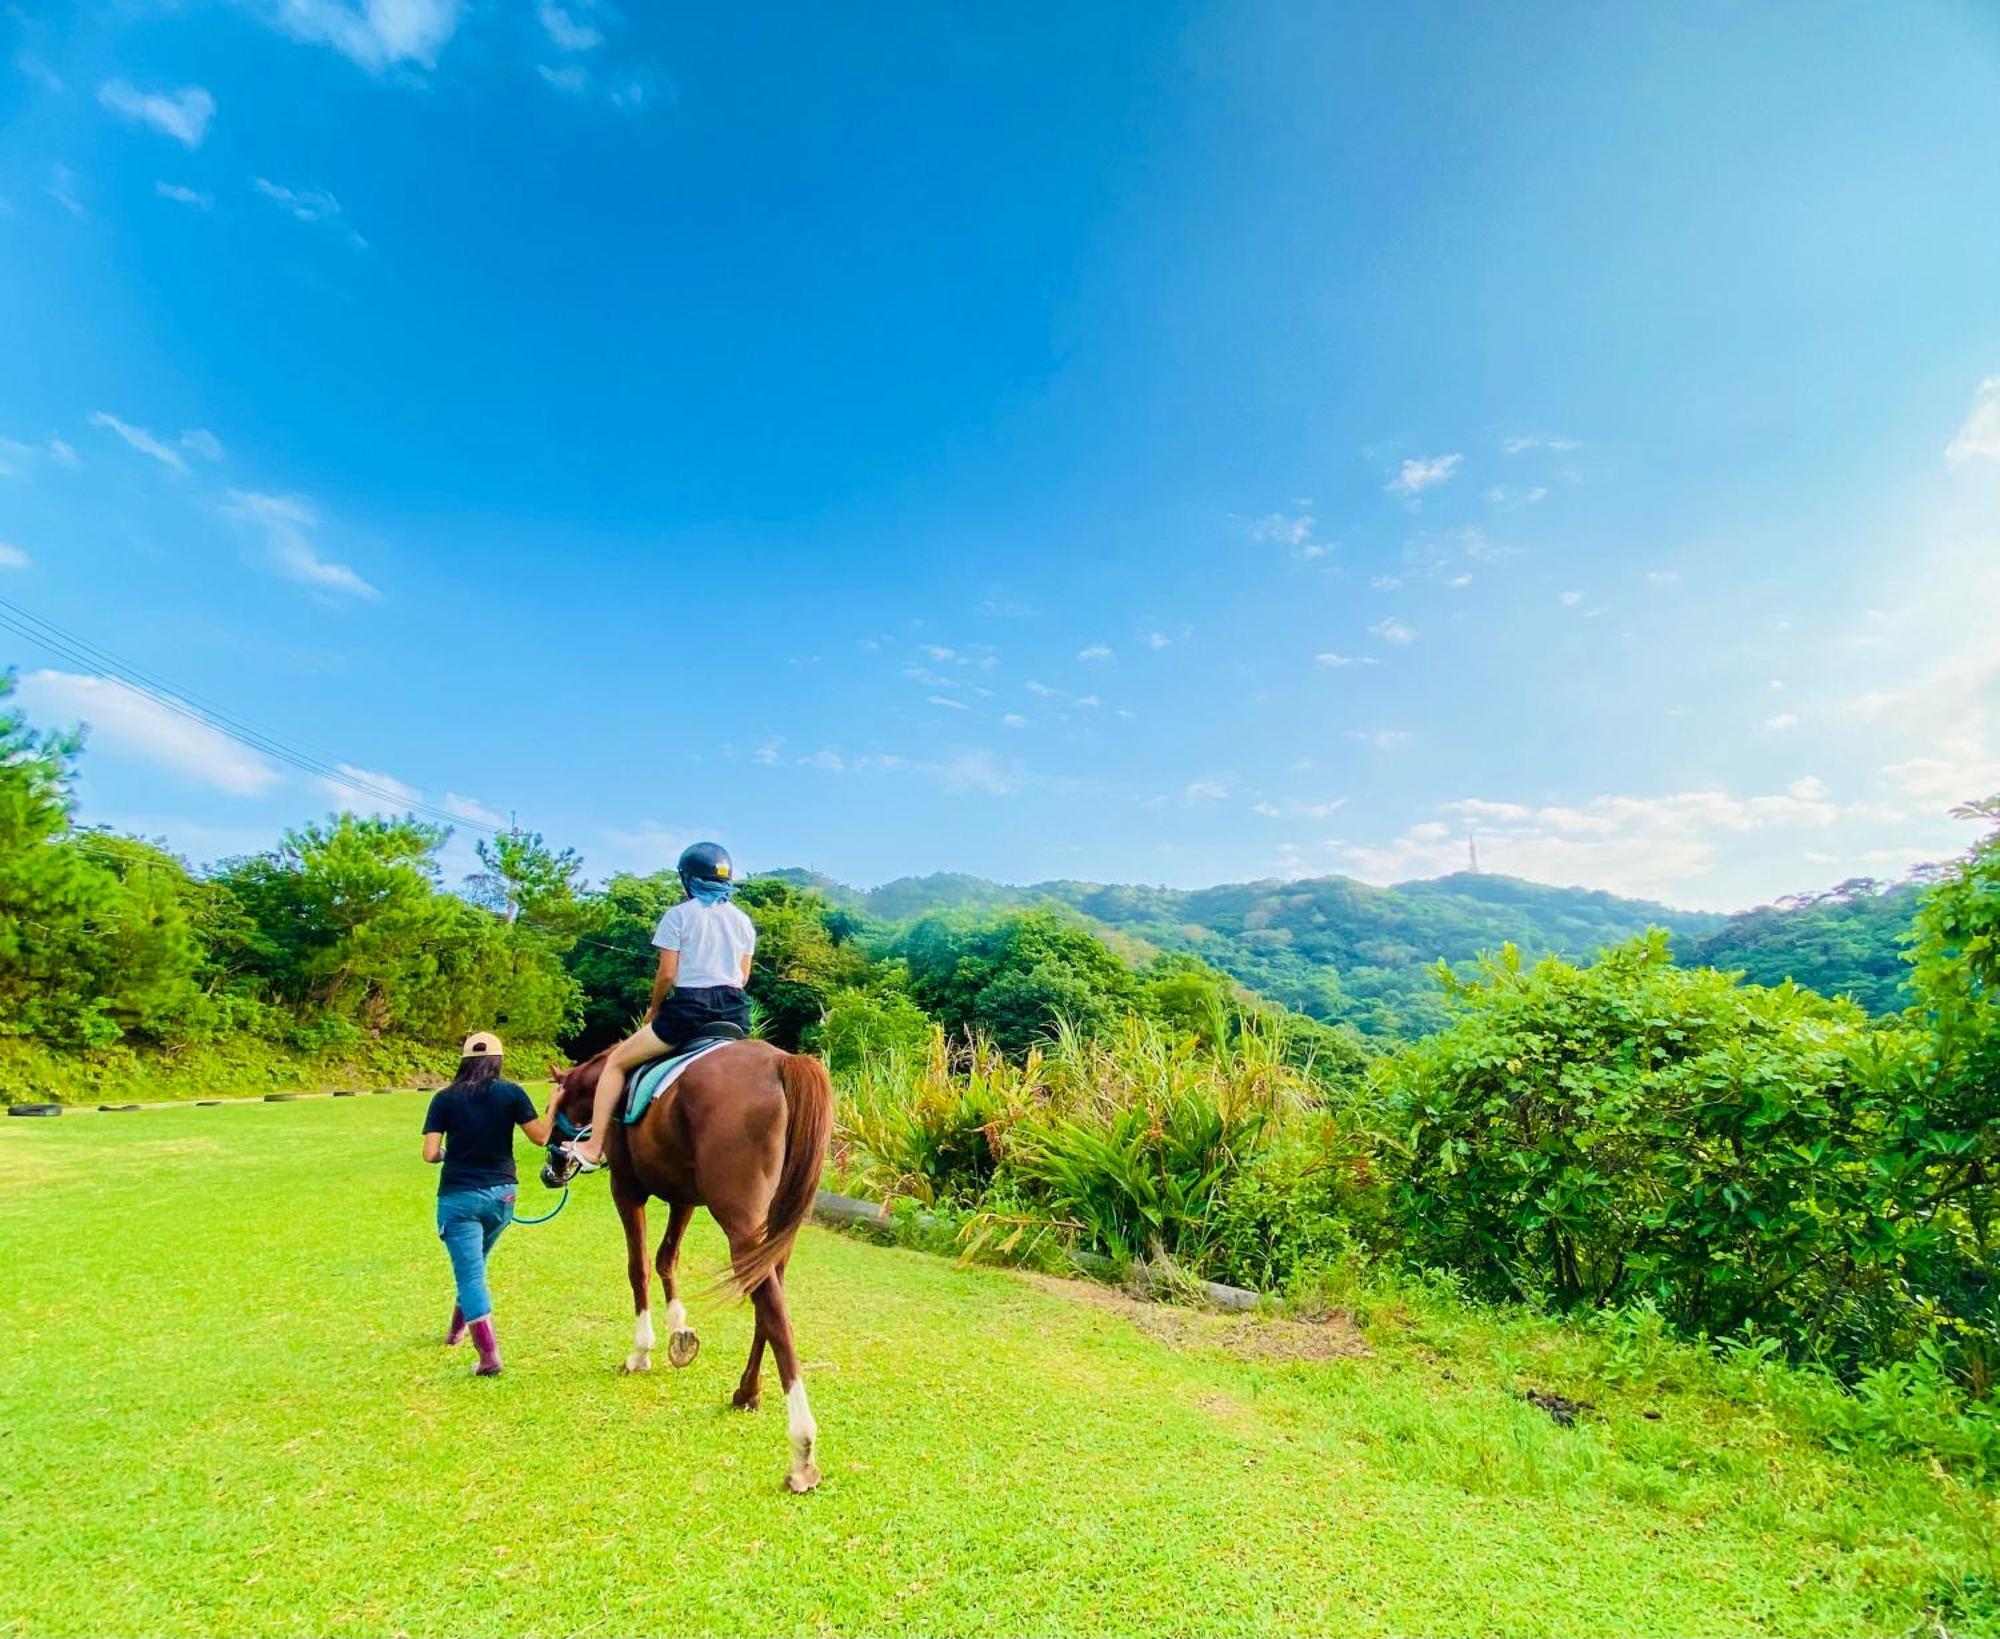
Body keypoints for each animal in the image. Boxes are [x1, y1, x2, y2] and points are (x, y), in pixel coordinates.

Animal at [544, 1047, 832, 1495]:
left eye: (550, 1105)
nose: (552, 1168)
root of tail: (781, 1062)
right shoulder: (683, 1197)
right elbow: (667, 1258)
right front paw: (680, 1334)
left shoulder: (626, 1189)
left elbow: (639, 1266)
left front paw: (641, 1351)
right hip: (778, 1225)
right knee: (769, 1302)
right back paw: (746, 1392)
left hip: (740, 1222)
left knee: (774, 1311)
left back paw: (802, 1451)